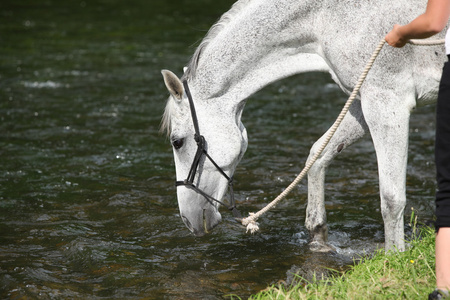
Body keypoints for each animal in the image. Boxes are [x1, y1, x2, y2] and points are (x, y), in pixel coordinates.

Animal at [162, 0, 446, 253]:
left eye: (177, 141)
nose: (187, 220)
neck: (327, 17)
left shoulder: (386, 101)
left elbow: (391, 198)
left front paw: (393, 258)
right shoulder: (362, 101)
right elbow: (318, 154)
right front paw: (318, 237)